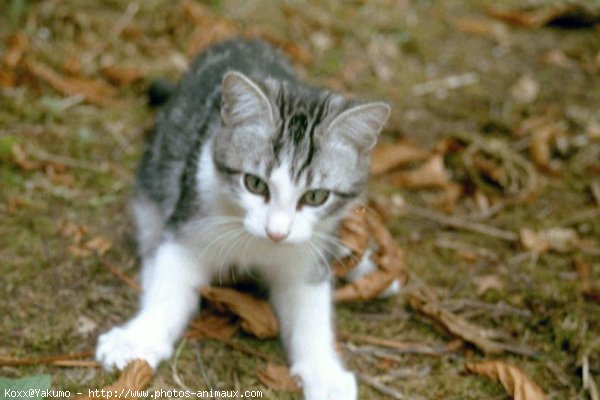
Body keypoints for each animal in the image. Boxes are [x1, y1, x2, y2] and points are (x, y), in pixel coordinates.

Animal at [95, 38, 390, 400]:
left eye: (315, 197)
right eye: (254, 183)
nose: (277, 232)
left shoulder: (306, 256)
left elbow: (311, 310)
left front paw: (324, 372)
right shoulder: (191, 217)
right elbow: (171, 281)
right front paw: (137, 338)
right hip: (157, 171)